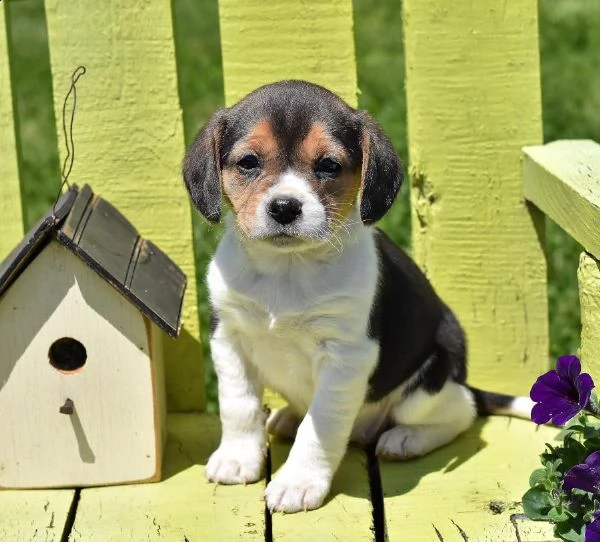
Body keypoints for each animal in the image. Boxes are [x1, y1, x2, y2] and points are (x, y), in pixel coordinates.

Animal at [183, 81, 528, 516]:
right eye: (248, 162)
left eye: (329, 165)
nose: (285, 207)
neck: (287, 268)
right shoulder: (229, 338)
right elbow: (238, 406)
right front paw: (237, 458)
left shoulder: (346, 357)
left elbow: (319, 428)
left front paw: (298, 483)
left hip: (429, 384)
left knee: (461, 410)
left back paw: (406, 439)